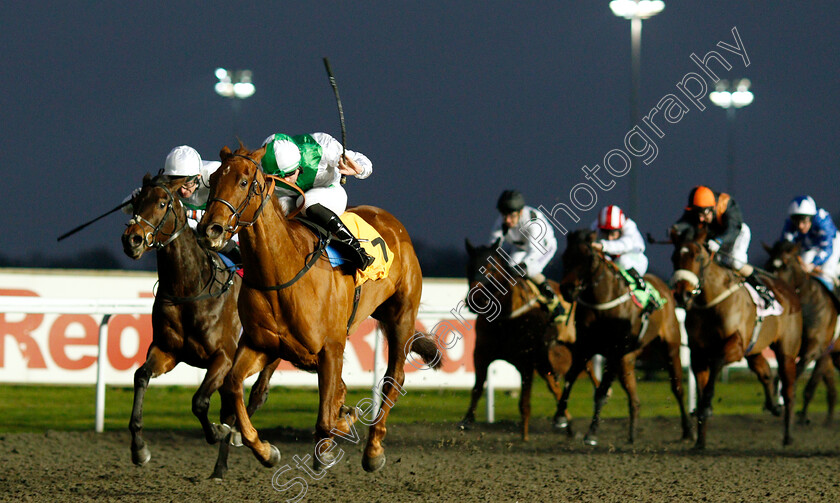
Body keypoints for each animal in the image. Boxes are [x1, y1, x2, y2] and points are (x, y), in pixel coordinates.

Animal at [196, 145, 440, 472]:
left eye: (244, 182)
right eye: (212, 179)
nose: (211, 228)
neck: (282, 275)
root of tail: (391, 222)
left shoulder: (330, 349)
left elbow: (326, 414)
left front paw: (332, 438)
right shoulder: (262, 345)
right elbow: (233, 385)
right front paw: (264, 449)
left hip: (401, 315)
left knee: (394, 378)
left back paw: (373, 449)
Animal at [668, 226, 800, 446]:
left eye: (698, 257)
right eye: (673, 257)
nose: (681, 295)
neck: (711, 303)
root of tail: (789, 289)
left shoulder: (735, 345)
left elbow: (716, 363)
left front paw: (706, 407)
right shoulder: (698, 353)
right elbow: (702, 384)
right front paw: (700, 441)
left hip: (786, 352)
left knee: (789, 390)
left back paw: (789, 436)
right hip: (754, 349)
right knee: (764, 372)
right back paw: (773, 406)